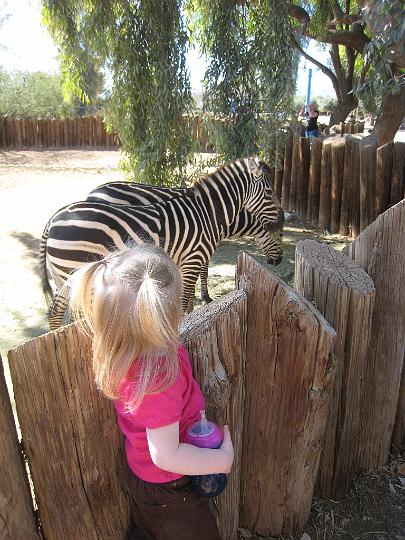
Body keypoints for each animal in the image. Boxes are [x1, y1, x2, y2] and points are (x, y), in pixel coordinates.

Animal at [83, 177, 282, 304]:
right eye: (280, 235)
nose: (279, 261)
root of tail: (93, 192)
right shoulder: (201, 244)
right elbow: (204, 271)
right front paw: (205, 297)